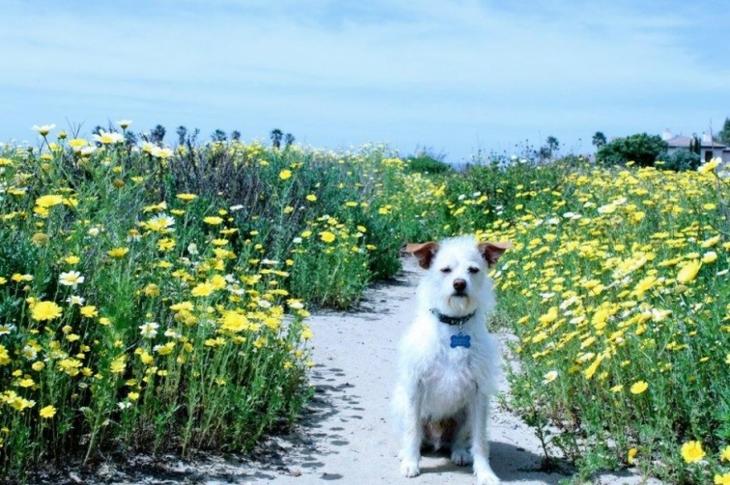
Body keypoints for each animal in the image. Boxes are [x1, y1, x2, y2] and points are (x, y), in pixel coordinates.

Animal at [392, 235, 506, 484]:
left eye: (473, 269)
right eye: (445, 269)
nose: (459, 284)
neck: (455, 324)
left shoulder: (479, 393)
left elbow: (480, 442)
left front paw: (485, 472)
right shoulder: (416, 387)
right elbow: (412, 431)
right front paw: (411, 462)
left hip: (465, 415)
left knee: (461, 439)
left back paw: (460, 452)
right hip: (401, 403)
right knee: (413, 435)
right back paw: (408, 452)